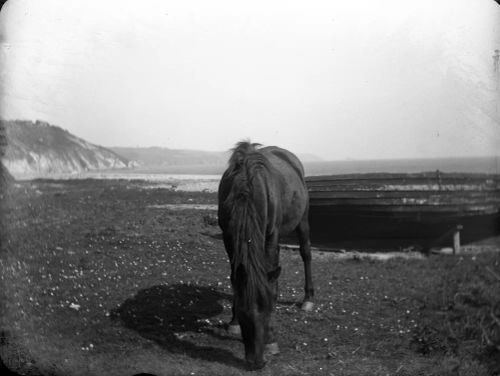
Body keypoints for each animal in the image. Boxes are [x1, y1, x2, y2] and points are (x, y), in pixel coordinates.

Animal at [218, 142, 314, 370]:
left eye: (269, 310)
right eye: (243, 312)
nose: (257, 362)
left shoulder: (271, 235)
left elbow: (272, 281)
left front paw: (271, 341)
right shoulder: (228, 237)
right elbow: (235, 278)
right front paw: (233, 322)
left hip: (302, 219)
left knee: (306, 252)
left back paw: (308, 298)